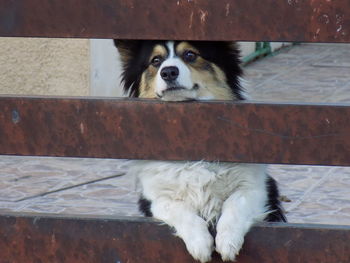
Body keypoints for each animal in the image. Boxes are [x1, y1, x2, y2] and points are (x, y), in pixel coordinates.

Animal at [115, 40, 284, 262]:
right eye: (156, 60)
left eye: (190, 54)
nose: (168, 72)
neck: (190, 133)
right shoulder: (156, 198)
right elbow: (179, 209)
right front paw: (200, 244)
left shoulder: (257, 188)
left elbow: (235, 203)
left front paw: (228, 242)